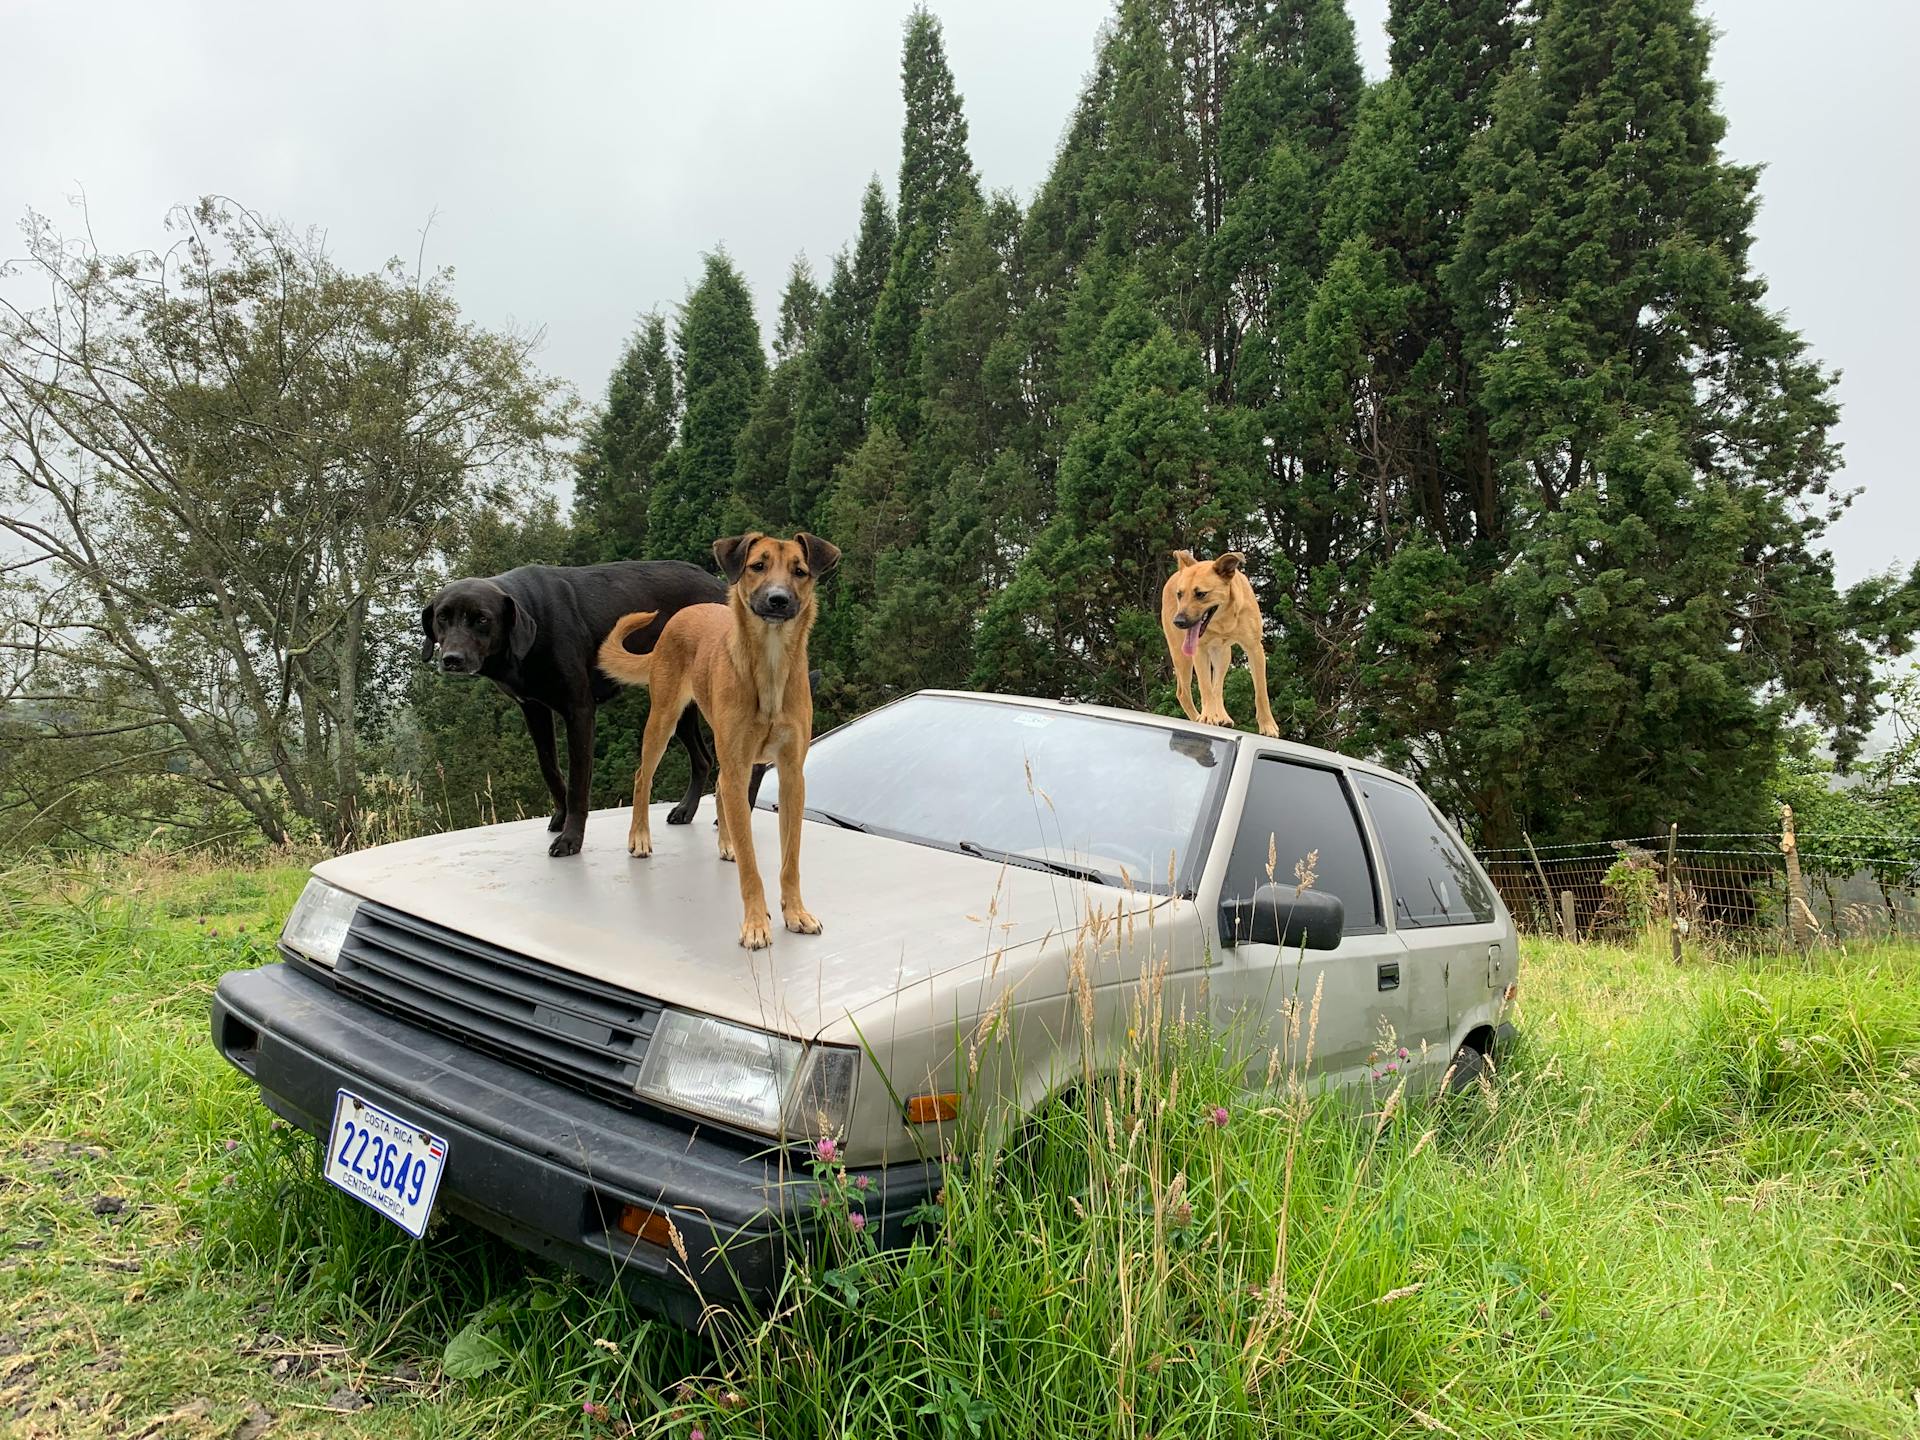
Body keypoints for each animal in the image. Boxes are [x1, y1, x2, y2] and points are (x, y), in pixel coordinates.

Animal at [418, 560, 721, 856]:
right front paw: (561, 818)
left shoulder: (579, 711)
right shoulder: (534, 711)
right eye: (442, 617)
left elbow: (577, 783)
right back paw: (686, 810)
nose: (452, 659)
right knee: (703, 760)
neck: (533, 626)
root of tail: (717, 583)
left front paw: (571, 838)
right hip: (674, 708)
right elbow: (550, 769)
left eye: (482, 618)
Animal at [599, 537, 840, 952]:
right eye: (758, 565)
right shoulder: (741, 761)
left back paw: (727, 844)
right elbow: (751, 867)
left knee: (719, 785)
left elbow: (789, 859)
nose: (778, 600)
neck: (770, 668)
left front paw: (796, 912)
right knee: (643, 776)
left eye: (799, 571)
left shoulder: (791, 774)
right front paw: (756, 924)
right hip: (664, 720)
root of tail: (683, 614)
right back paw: (640, 838)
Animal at [1159, 545, 1282, 737]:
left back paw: (1222, 716)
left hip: (1223, 654)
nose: (1178, 622)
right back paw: (1199, 717)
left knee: (1217, 686)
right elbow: (1205, 686)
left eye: (1201, 594)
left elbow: (1261, 692)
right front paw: (1208, 717)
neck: (1222, 618)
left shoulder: (1254, 648)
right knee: (1183, 693)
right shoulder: (1199, 650)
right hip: (1181, 655)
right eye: (1179, 594)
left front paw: (1268, 726)